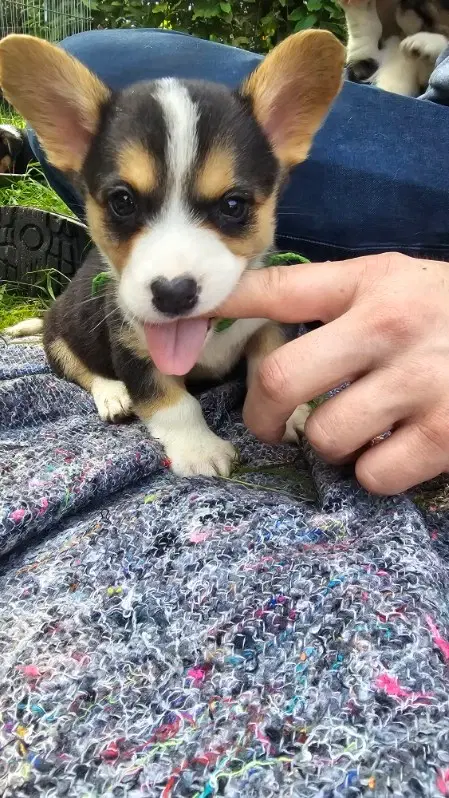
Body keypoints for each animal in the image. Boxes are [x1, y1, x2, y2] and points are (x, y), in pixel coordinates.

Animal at [0, 32, 344, 476]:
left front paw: (293, 415)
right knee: (81, 370)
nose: (173, 294)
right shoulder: (133, 347)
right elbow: (172, 402)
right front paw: (200, 450)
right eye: (122, 202)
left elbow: (268, 364)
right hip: (61, 333)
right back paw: (113, 395)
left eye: (233, 205)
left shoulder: (270, 324)